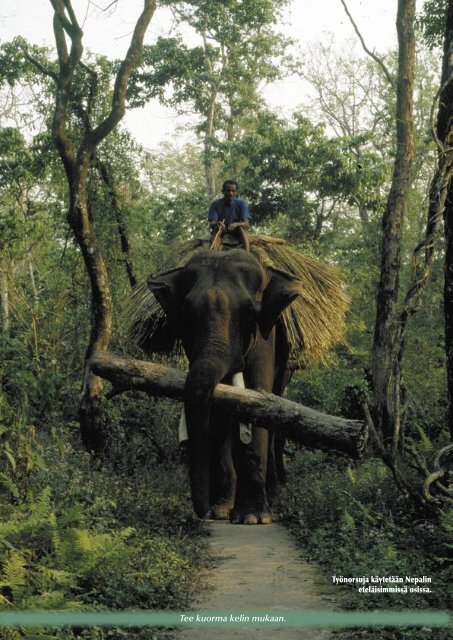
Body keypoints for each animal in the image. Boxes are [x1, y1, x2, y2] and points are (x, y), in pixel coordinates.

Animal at [147, 248, 298, 524]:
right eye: (186, 313)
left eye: (250, 312)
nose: (202, 511)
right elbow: (219, 415)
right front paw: (221, 511)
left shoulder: (266, 339)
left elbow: (257, 402)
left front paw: (254, 518)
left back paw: (273, 496)